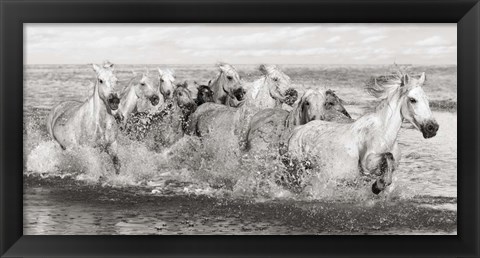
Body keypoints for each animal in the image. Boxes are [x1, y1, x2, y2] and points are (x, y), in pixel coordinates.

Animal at [284, 70, 438, 194]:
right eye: (413, 100)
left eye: (427, 100)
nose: (433, 128)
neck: (384, 135)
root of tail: (297, 130)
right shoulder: (367, 163)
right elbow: (388, 156)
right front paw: (377, 186)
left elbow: (389, 167)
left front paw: (378, 185)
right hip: (298, 170)